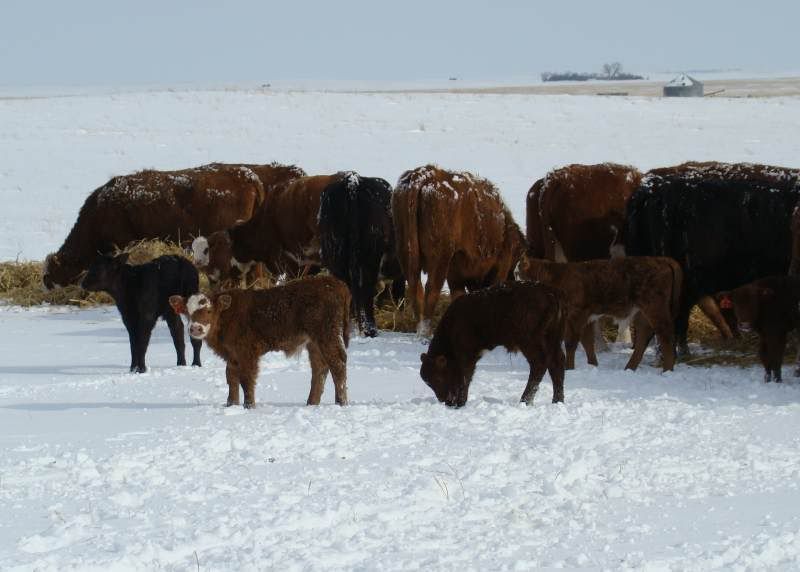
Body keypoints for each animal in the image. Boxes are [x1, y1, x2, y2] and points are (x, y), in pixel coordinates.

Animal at [169, 275, 351, 409]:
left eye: (209, 311)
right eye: (187, 312)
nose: (195, 328)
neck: (226, 317)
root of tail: (334, 282)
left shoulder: (247, 353)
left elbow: (246, 379)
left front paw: (249, 406)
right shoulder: (232, 356)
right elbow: (231, 377)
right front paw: (231, 404)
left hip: (327, 335)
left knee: (337, 364)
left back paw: (341, 403)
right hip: (314, 342)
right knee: (320, 368)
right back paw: (312, 403)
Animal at [393, 165, 526, 337]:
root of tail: (424, 175)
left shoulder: (455, 274)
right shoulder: (498, 268)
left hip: (406, 253)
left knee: (416, 288)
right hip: (440, 258)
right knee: (431, 289)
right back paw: (427, 333)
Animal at [419, 281, 565, 407]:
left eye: (438, 378)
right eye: (428, 383)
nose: (442, 399)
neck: (452, 324)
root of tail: (549, 292)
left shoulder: (466, 355)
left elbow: (465, 376)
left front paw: (460, 403)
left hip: (529, 341)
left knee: (539, 363)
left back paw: (525, 401)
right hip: (553, 339)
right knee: (556, 363)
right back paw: (557, 401)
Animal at [520, 256, 683, 372]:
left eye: (518, 272)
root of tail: (662, 260)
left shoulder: (575, 314)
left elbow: (571, 342)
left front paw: (569, 368)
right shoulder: (588, 317)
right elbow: (587, 342)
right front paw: (593, 365)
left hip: (656, 309)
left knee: (666, 338)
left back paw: (666, 372)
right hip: (641, 312)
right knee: (644, 337)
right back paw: (629, 368)